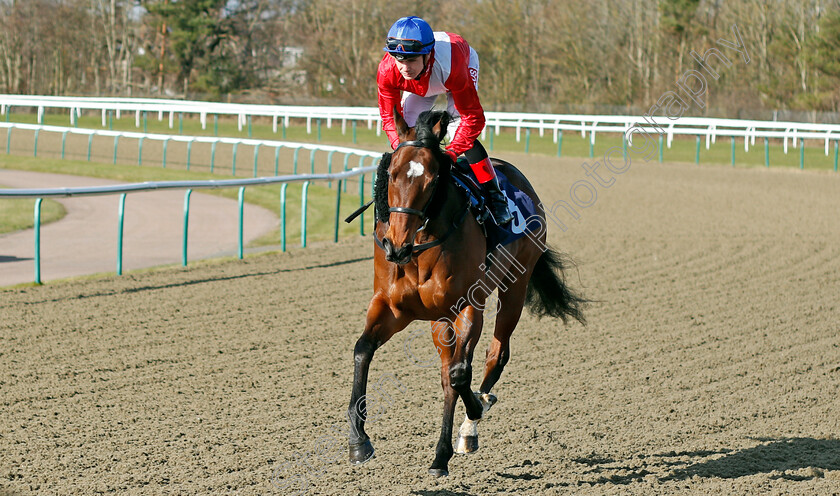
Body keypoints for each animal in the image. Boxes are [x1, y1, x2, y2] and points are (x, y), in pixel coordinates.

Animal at [348, 109, 584, 476]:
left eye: (432, 180)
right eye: (391, 174)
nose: (396, 246)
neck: (420, 246)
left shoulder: (468, 306)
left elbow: (461, 375)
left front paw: (473, 414)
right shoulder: (391, 307)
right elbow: (363, 350)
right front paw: (359, 442)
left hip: (514, 287)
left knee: (493, 356)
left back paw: (466, 430)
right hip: (439, 319)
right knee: (451, 371)